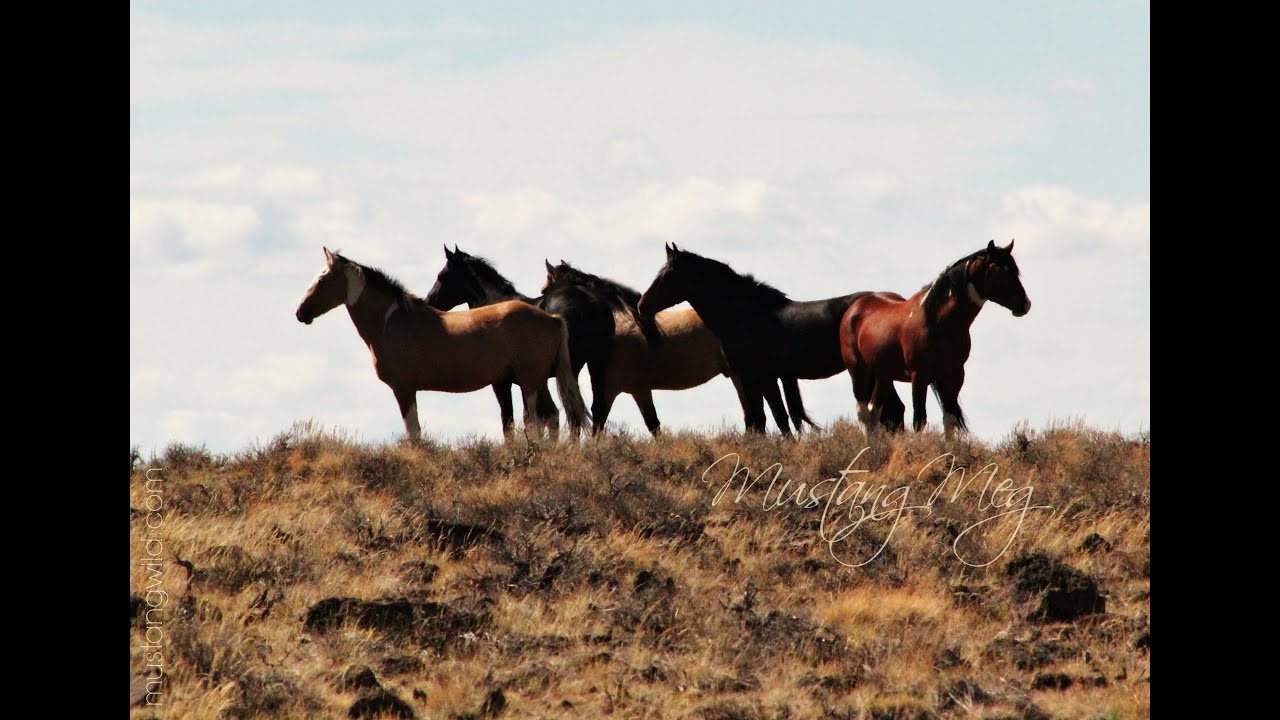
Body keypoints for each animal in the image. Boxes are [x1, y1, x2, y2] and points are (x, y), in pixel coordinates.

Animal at [295, 247, 591, 440]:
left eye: (322, 279)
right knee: (552, 417)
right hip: (538, 381)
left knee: (538, 421)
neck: (391, 322)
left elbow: (414, 433)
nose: (300, 312)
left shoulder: (404, 389)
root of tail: (552, 318)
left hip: (529, 382)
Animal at [424, 245, 625, 435]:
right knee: (596, 408)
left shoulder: (503, 382)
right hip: (595, 364)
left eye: (442, 275)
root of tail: (592, 305)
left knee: (571, 411)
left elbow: (512, 419)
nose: (428, 301)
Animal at [636, 243, 859, 436]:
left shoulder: (760, 377)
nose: (641, 306)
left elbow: (773, 418)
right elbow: (764, 419)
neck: (745, 315)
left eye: (668, 275)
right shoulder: (756, 378)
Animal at [839, 240, 1031, 438]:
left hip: (883, 375)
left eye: (1015, 270)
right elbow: (919, 420)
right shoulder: (919, 376)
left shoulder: (954, 376)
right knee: (863, 413)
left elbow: (949, 420)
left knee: (874, 411)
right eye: (999, 270)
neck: (936, 321)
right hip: (858, 371)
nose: (1025, 304)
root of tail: (854, 308)